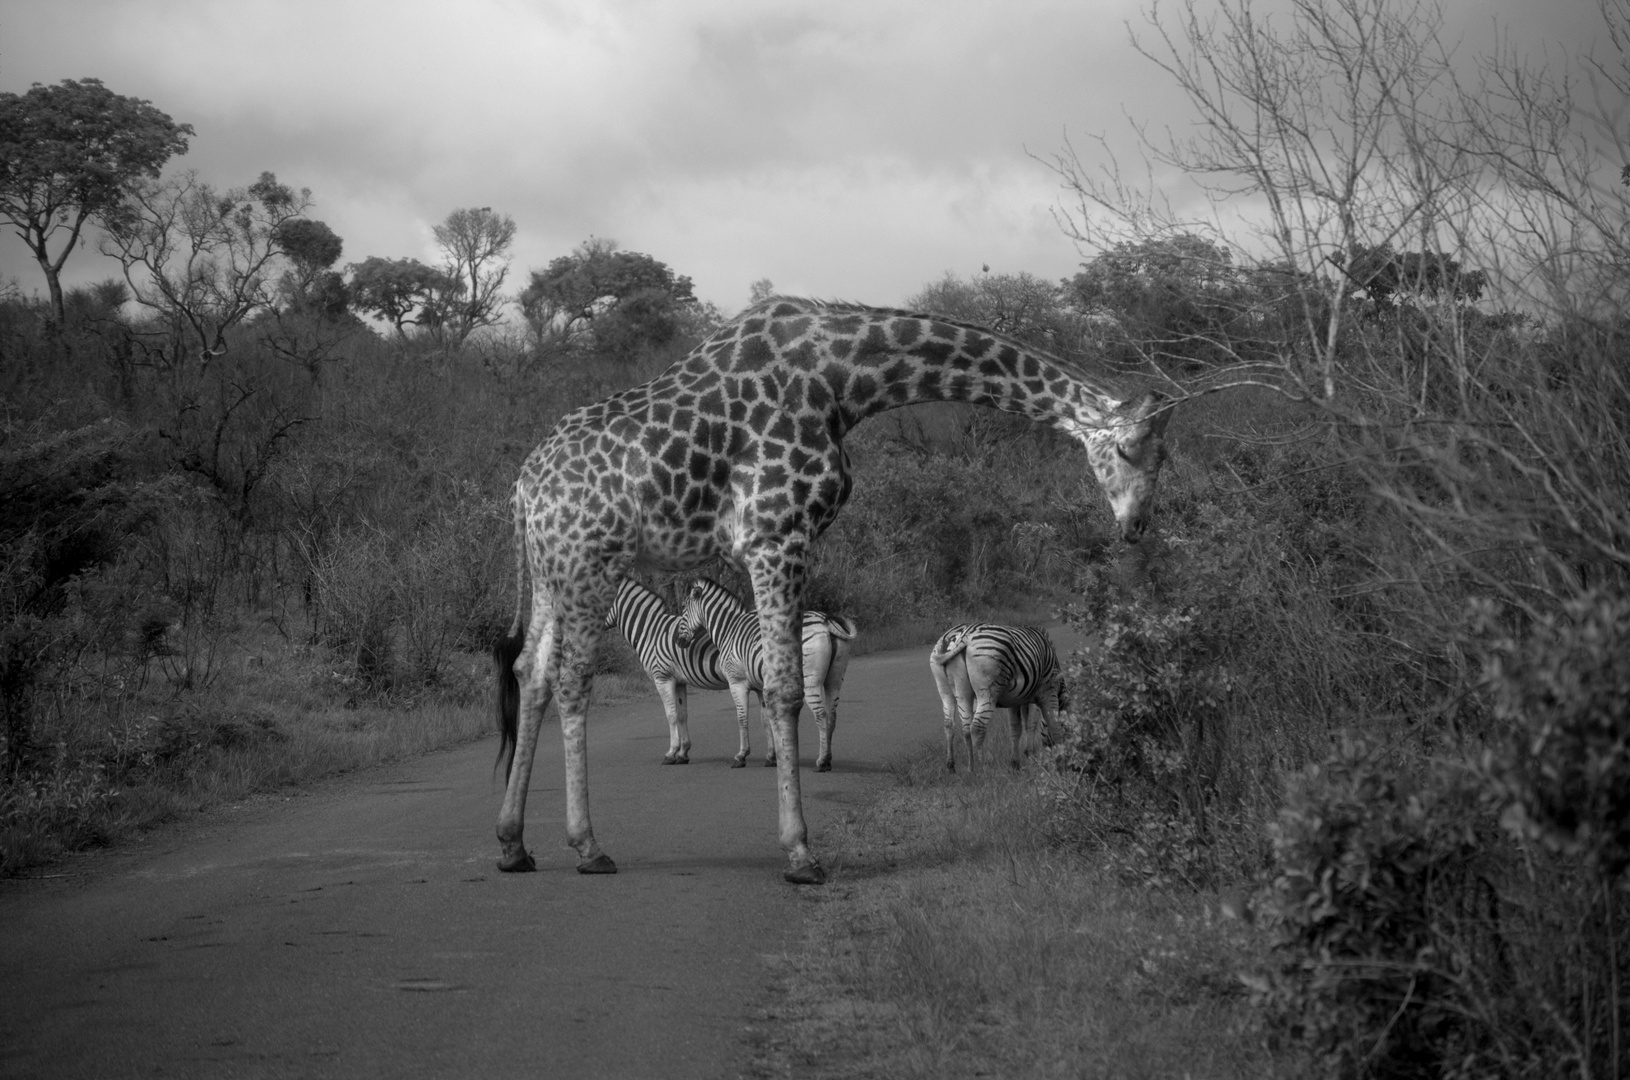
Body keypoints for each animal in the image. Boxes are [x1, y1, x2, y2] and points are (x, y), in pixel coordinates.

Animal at [603, 579, 730, 765]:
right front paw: (683, 752)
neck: (650, 632)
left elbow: (671, 715)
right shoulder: (679, 681)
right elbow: (682, 714)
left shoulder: (662, 678)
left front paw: (671, 753)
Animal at [674, 579, 860, 772]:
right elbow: (766, 720)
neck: (729, 630)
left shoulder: (737, 682)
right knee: (832, 714)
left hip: (811, 681)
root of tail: (825, 622)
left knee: (821, 715)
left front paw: (741, 756)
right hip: (835, 679)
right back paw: (828, 760)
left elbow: (742, 717)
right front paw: (771, 757)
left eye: (683, 607)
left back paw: (822, 761)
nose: (678, 642)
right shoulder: (759, 686)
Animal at [938, 622, 1062, 772]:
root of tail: (964, 636)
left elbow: (1016, 728)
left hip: (954, 691)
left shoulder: (1016, 700)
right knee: (977, 727)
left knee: (955, 725)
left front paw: (1017, 762)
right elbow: (1049, 724)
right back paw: (982, 768)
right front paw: (1058, 757)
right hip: (988, 691)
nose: (1049, 747)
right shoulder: (1047, 691)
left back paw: (964, 768)